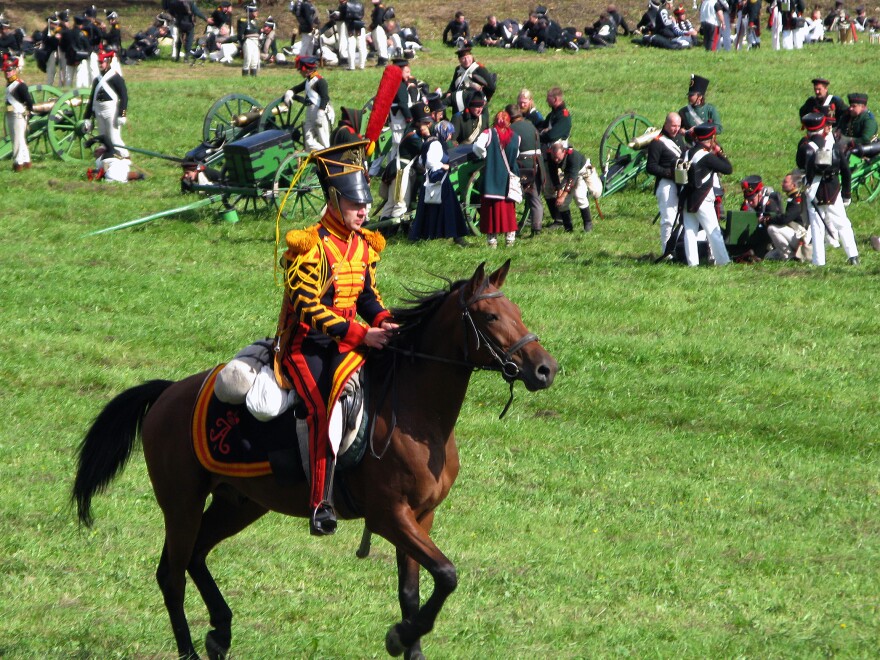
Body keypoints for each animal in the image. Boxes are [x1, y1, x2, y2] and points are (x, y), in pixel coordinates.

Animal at [74, 260, 556, 656]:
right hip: (182, 505)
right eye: (491, 317)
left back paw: (221, 632)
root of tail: (170, 393)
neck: (413, 412)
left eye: (517, 312)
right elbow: (447, 574)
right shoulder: (389, 516)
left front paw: (407, 639)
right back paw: (194, 648)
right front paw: (399, 635)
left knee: (194, 558)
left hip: (238, 503)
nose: (545, 369)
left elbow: (415, 592)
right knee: (172, 574)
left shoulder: (421, 517)